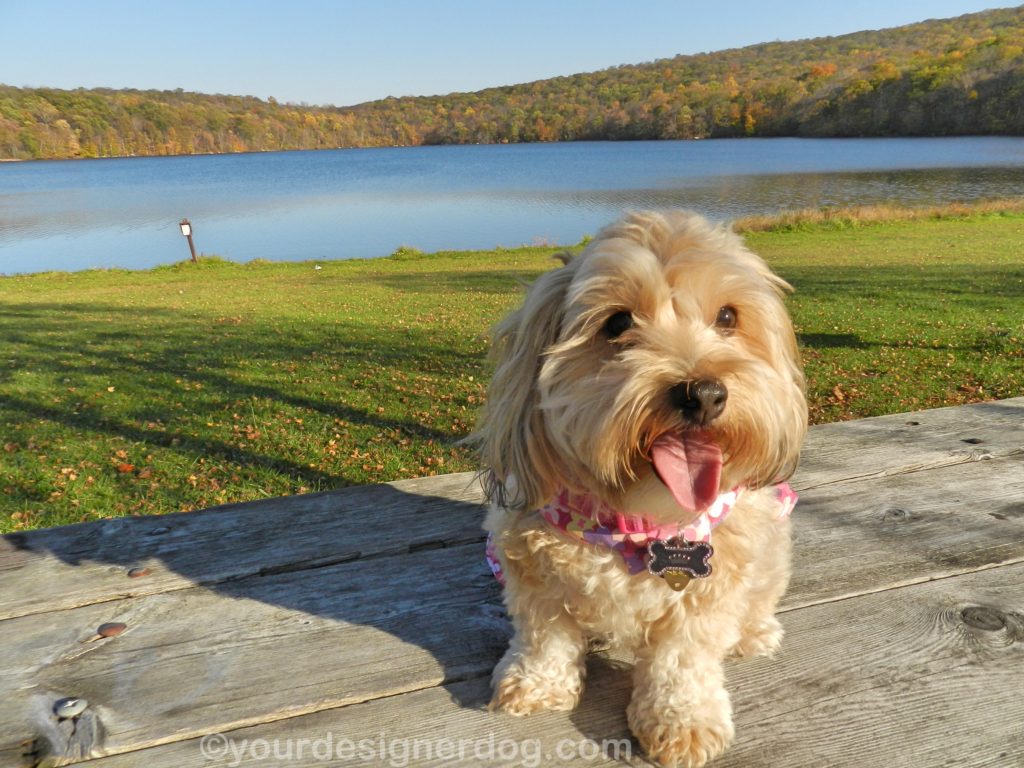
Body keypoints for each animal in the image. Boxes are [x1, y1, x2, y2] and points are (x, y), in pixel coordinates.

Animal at [473, 211, 806, 768]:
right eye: (617, 323)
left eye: (728, 316)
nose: (703, 393)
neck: (636, 514)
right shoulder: (529, 567)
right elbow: (544, 634)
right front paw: (537, 685)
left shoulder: (711, 586)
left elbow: (683, 658)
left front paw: (683, 721)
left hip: (772, 544)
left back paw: (754, 633)